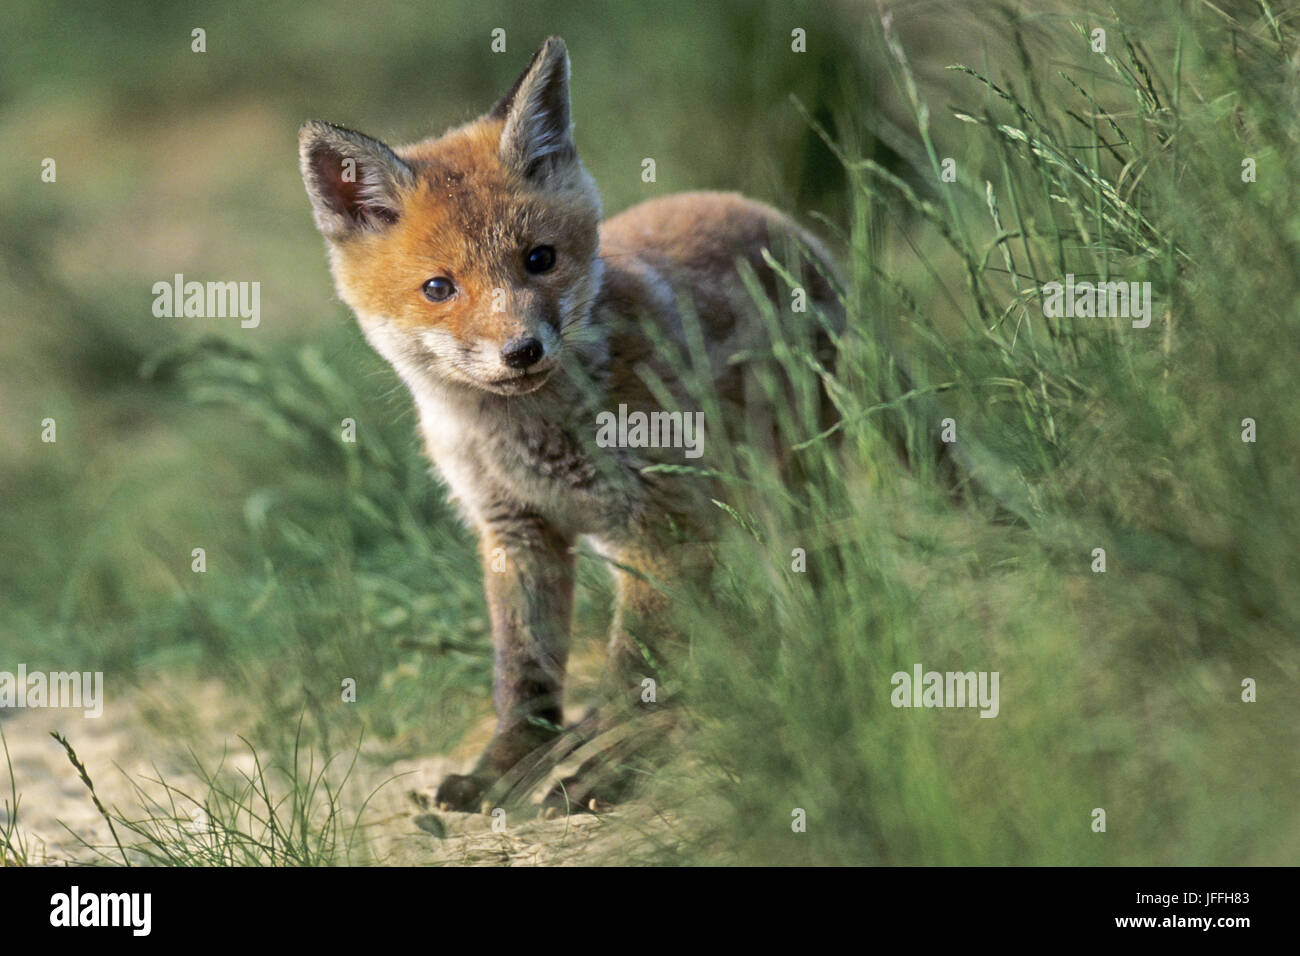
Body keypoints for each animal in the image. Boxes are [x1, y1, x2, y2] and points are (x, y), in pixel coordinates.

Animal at [299, 36, 846, 811]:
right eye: (439, 288)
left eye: (539, 259)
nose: (522, 350)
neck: (524, 438)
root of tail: (767, 212)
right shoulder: (517, 531)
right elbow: (523, 671)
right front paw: (506, 764)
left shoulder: (664, 527)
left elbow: (635, 672)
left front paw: (611, 765)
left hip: (792, 486)